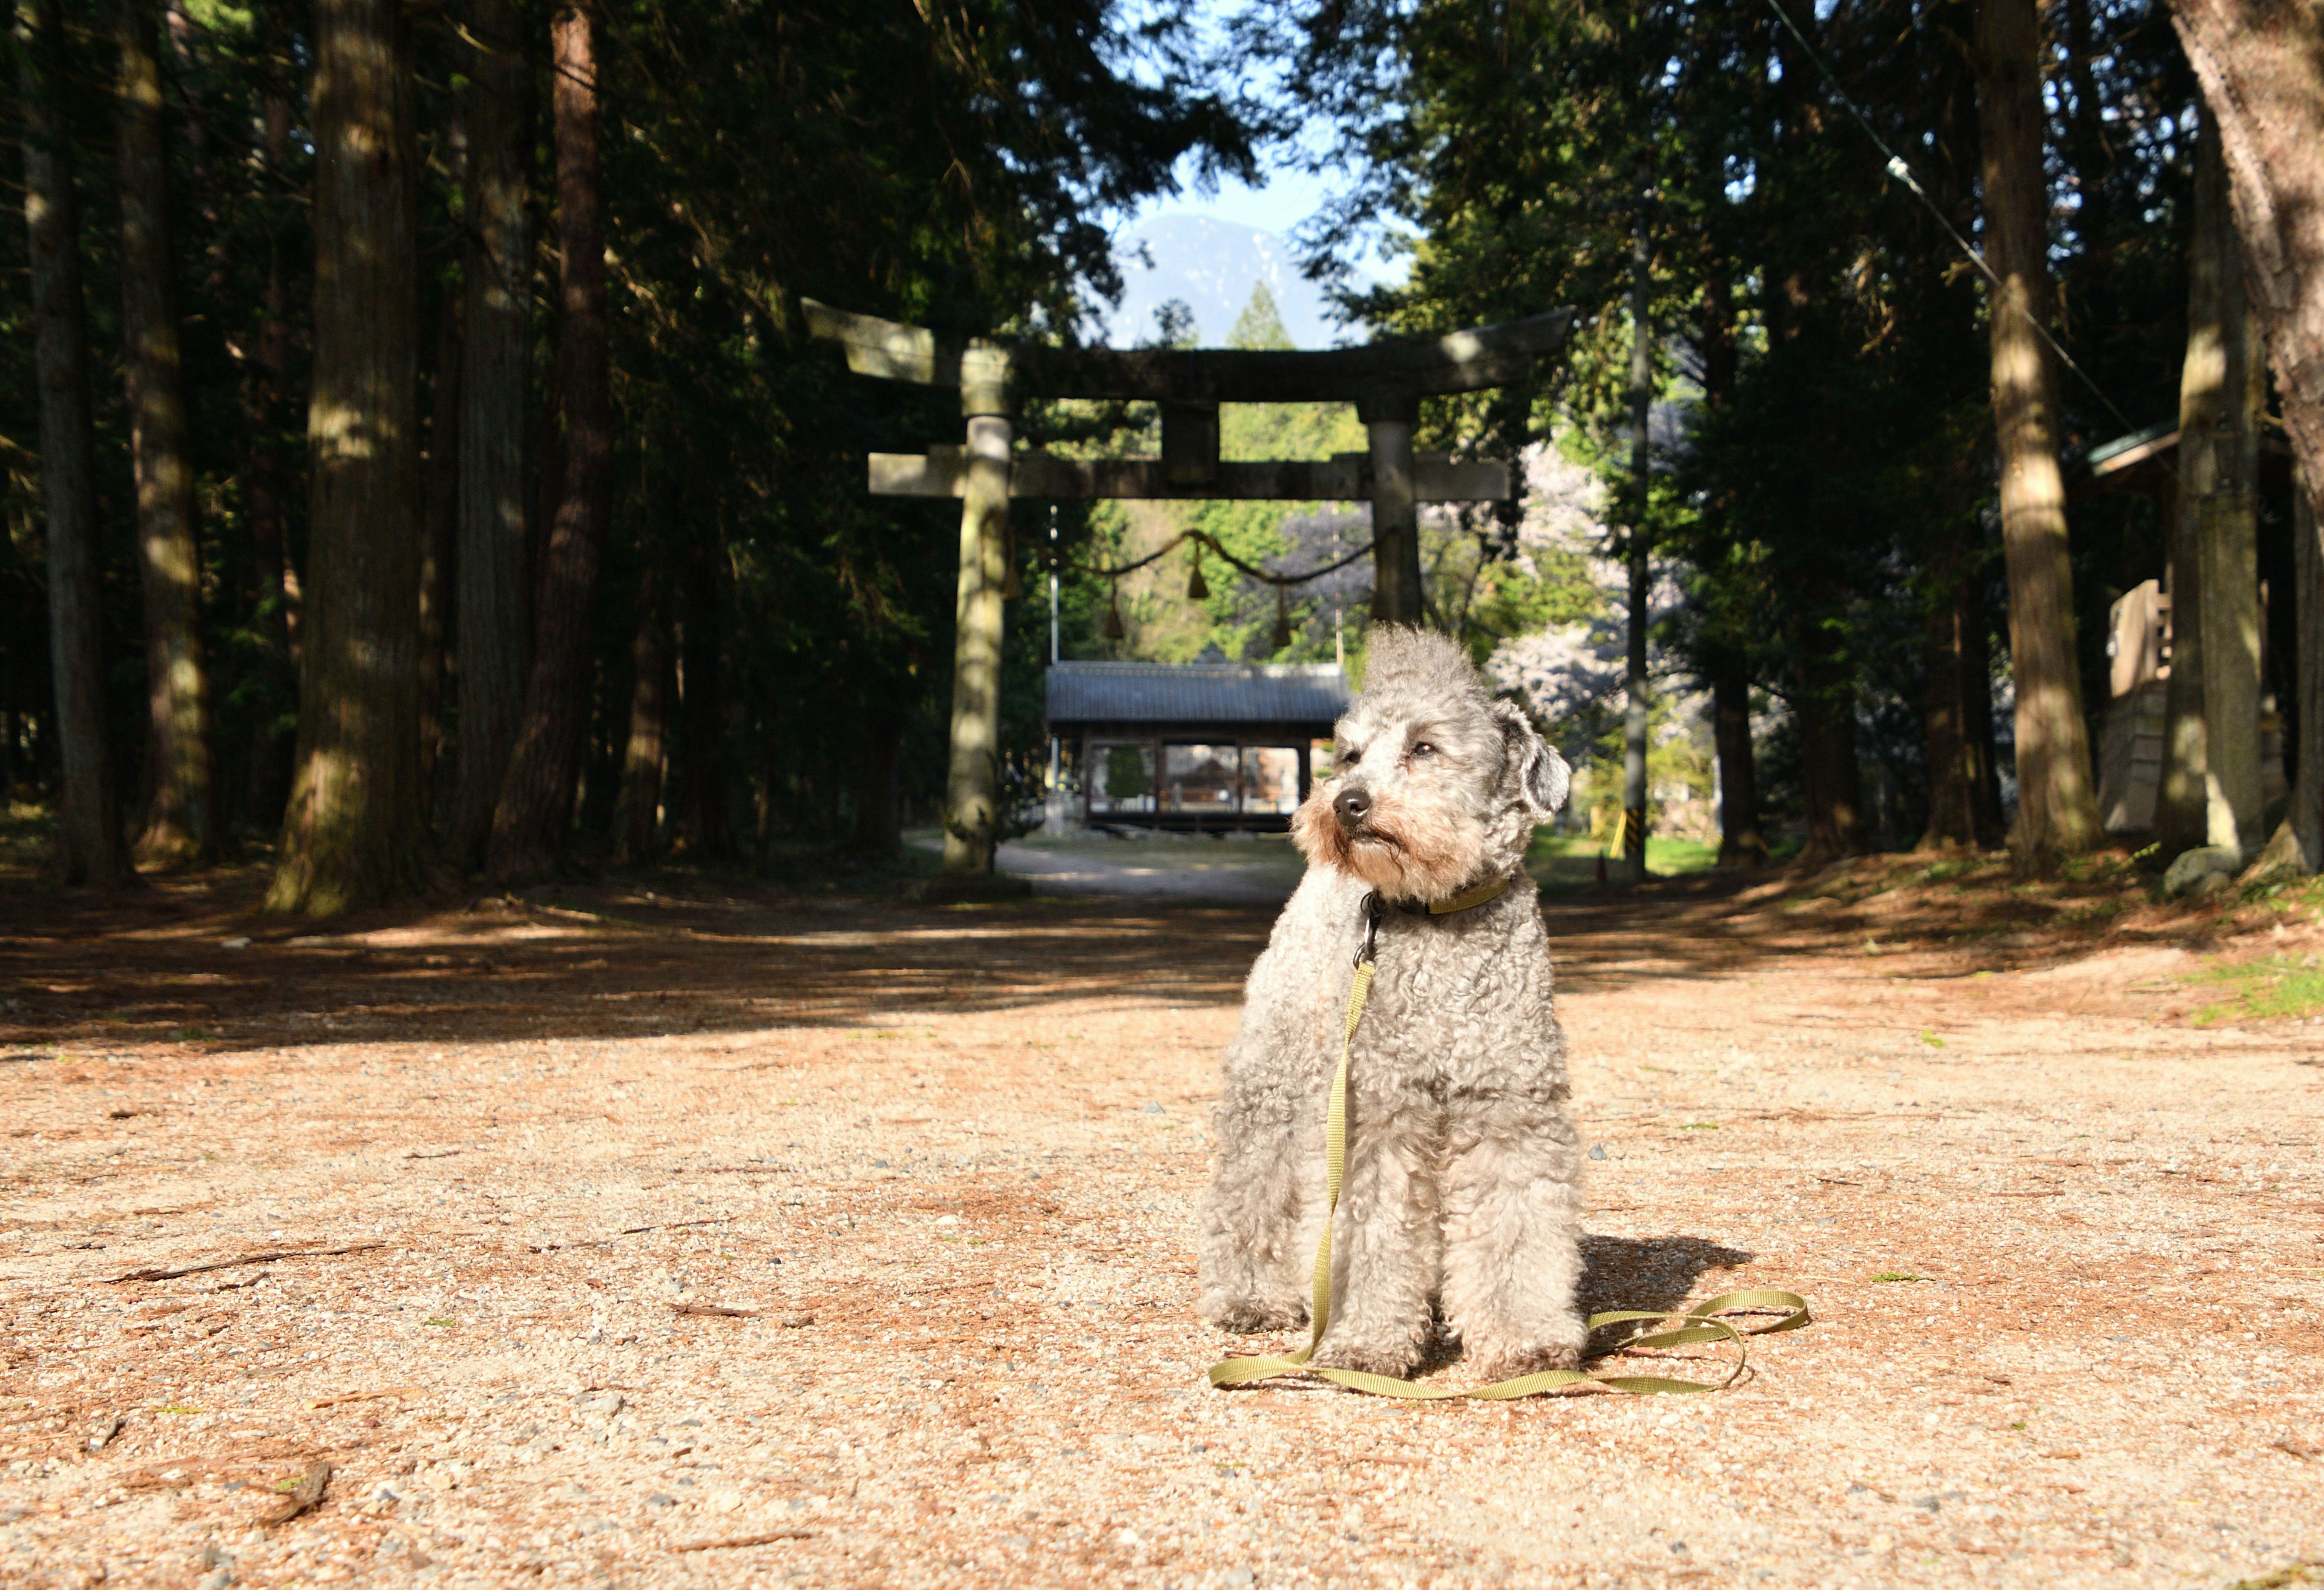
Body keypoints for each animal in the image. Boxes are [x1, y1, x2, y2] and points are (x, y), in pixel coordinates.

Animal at [1199, 623, 1580, 1376]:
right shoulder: (1374, 1119)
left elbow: (1518, 1223)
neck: (1441, 920)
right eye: (1351, 753)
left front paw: (1525, 1335)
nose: (1345, 799)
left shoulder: (1510, 1111)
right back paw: (1252, 1295)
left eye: (1424, 747)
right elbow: (1369, 1229)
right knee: (1249, 1190)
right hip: (1276, 1083)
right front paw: (1366, 1339)